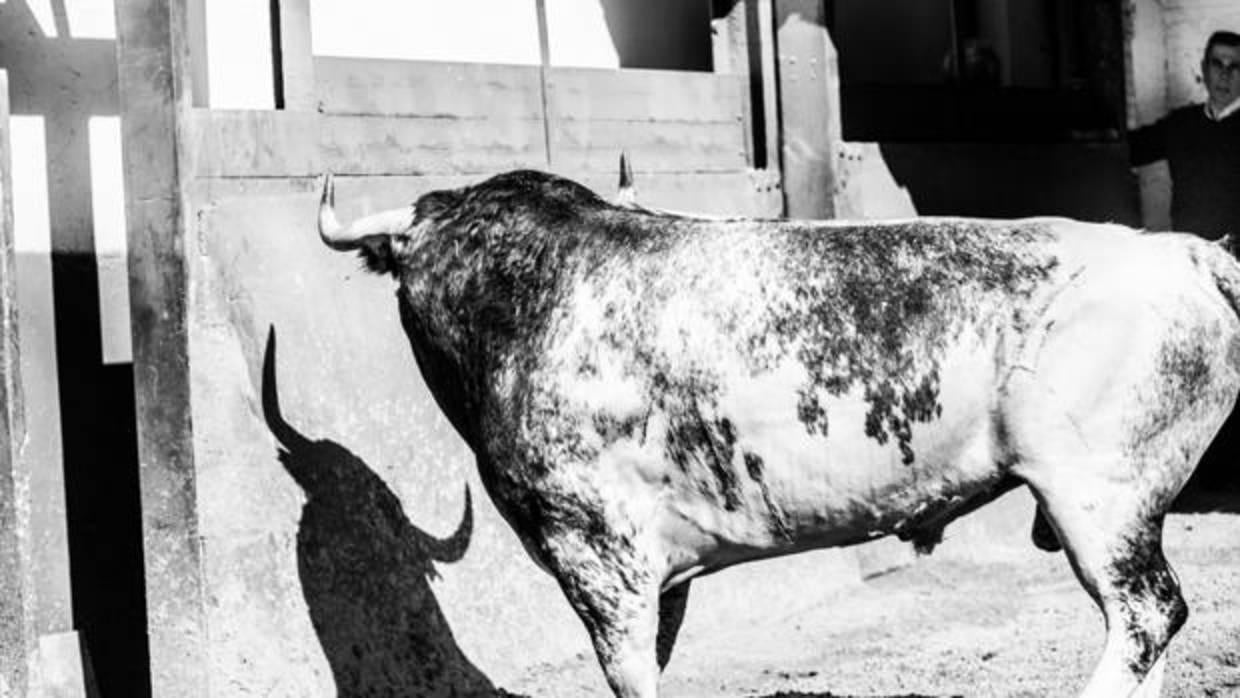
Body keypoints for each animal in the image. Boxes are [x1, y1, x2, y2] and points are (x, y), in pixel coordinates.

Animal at [314, 164, 1240, 698]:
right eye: (438, 260)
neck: (535, 297)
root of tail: (1188, 253)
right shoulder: (655, 569)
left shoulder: (595, 549)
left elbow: (629, 670)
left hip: (1098, 496)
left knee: (1148, 614)